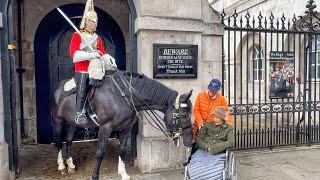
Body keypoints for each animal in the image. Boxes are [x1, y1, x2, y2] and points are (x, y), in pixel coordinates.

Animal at [50, 71, 192, 179]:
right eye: (184, 114)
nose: (190, 141)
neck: (124, 96)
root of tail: (57, 87)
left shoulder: (126, 128)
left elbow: (122, 150)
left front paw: (123, 173)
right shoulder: (105, 128)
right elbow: (100, 152)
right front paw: (95, 176)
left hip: (73, 122)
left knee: (69, 140)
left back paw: (71, 165)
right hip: (58, 120)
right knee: (58, 142)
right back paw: (61, 166)